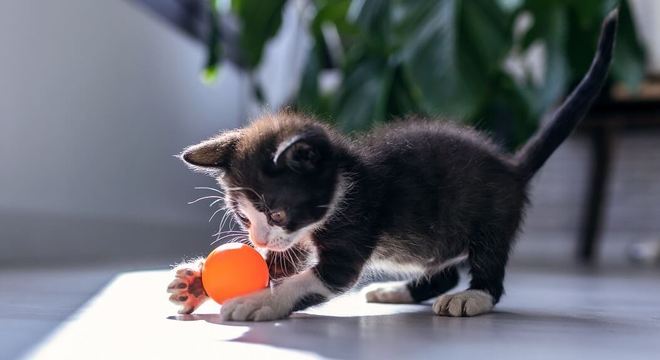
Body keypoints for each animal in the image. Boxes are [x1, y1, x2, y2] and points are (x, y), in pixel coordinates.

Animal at [166, 11, 620, 320]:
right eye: (244, 219)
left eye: (276, 212)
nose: (256, 240)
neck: (345, 181)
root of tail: (511, 166)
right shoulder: (298, 237)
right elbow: (283, 261)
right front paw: (195, 283)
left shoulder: (355, 221)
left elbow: (313, 277)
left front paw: (261, 300)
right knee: (443, 269)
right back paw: (398, 291)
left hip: (492, 214)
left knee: (488, 263)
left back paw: (472, 296)